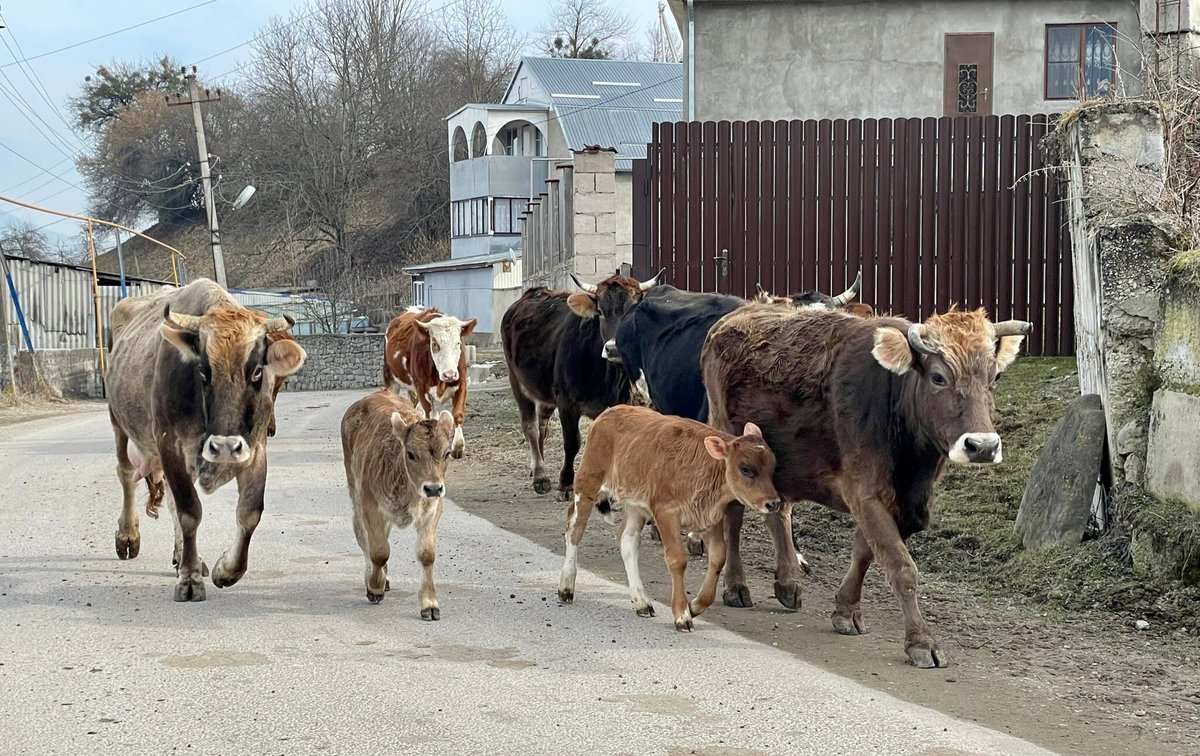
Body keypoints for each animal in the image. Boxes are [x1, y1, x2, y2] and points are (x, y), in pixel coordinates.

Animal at [343, 391, 453, 624]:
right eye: (410, 453)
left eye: (447, 453)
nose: (433, 488)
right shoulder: (370, 505)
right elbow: (379, 551)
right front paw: (374, 588)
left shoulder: (432, 509)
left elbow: (426, 553)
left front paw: (430, 604)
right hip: (355, 492)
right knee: (362, 535)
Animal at [556, 408, 782, 633]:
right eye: (745, 468)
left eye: (773, 467)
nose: (773, 503)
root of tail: (610, 411)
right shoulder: (666, 512)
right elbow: (677, 559)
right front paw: (682, 614)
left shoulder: (711, 516)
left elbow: (719, 557)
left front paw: (695, 606)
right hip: (588, 483)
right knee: (575, 527)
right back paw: (566, 587)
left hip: (635, 505)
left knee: (627, 540)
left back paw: (642, 602)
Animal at [700, 304, 1032, 667]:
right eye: (938, 377)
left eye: (995, 377)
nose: (982, 446)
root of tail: (738, 313)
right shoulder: (865, 493)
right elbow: (901, 567)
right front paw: (921, 641)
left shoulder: (901, 503)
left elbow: (864, 552)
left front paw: (846, 611)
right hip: (729, 443)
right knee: (732, 517)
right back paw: (736, 586)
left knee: (779, 512)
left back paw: (788, 584)